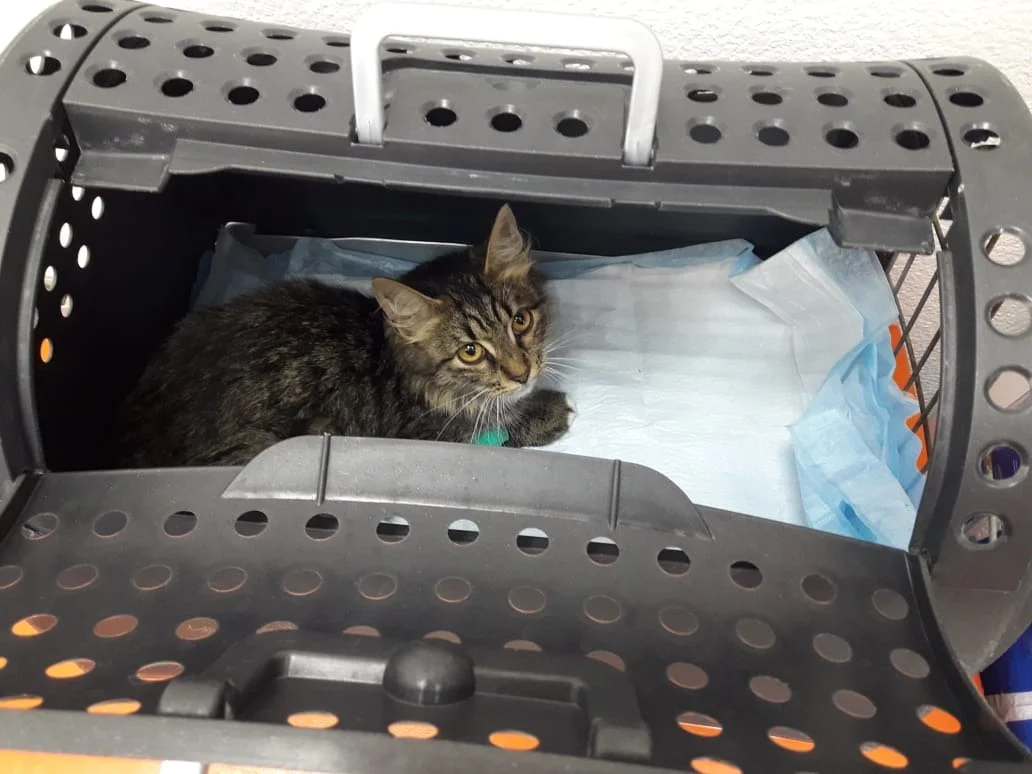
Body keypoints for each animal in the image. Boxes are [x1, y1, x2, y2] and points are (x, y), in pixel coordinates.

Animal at [115, 204, 573, 467]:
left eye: (520, 321)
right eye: (471, 351)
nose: (521, 373)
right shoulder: (431, 437)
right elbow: (496, 430)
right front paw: (549, 410)